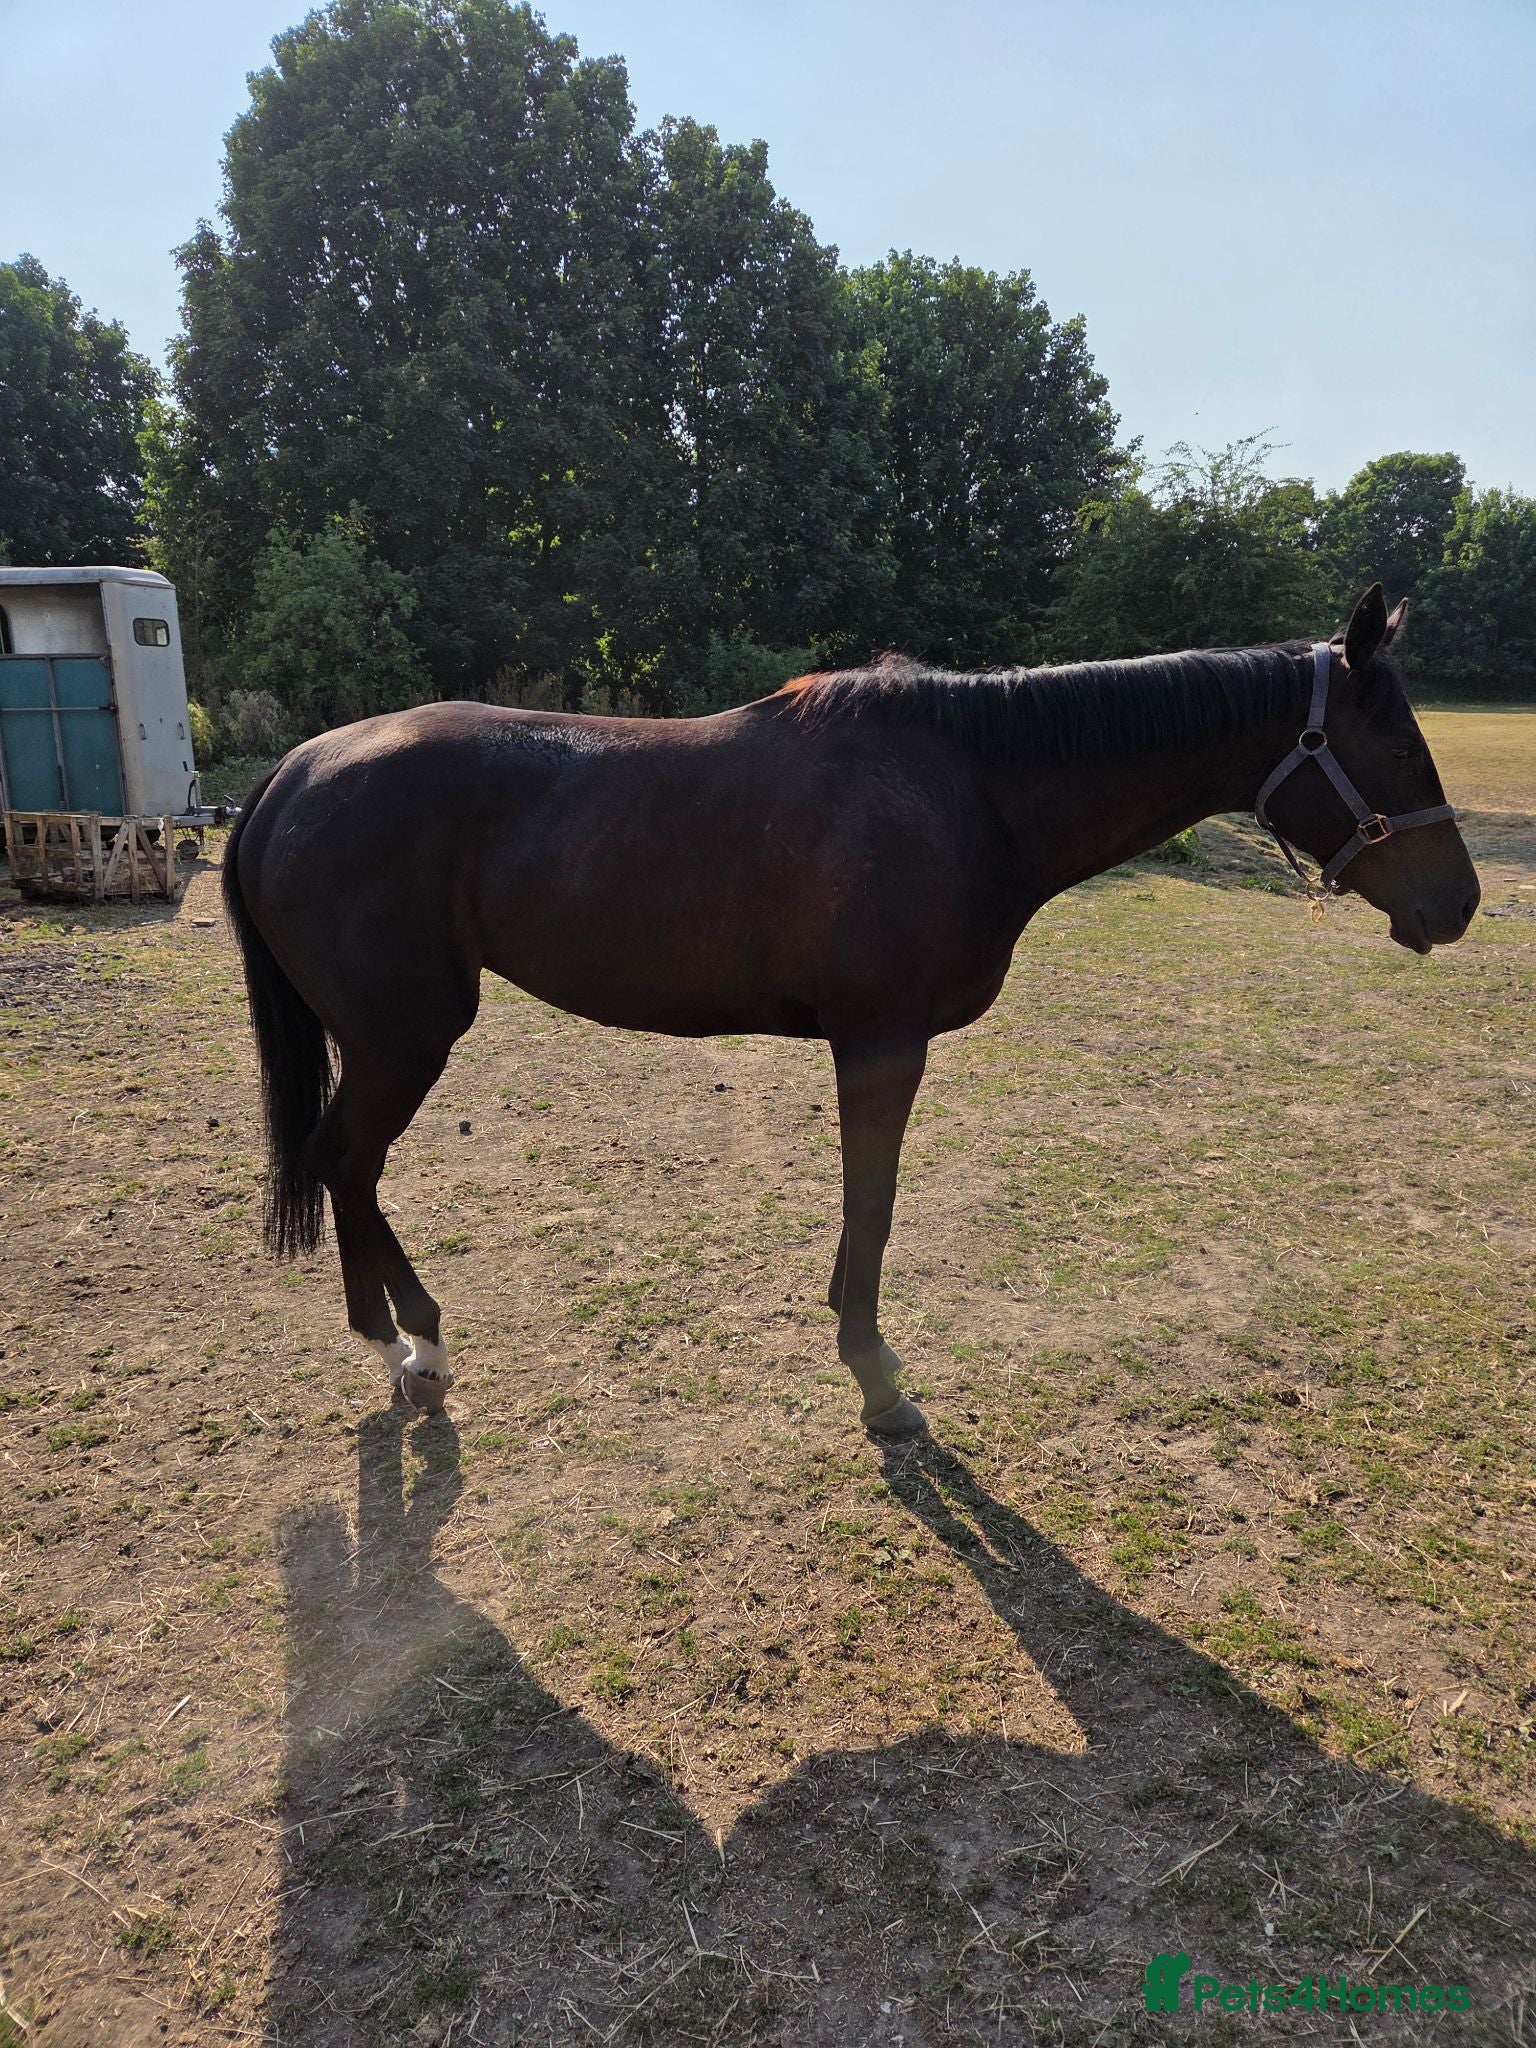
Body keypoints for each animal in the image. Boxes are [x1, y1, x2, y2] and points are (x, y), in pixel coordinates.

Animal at [223, 584, 1479, 1432]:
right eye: (1395, 744)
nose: (1460, 902)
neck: (966, 786)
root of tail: (290, 773)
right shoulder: (881, 1044)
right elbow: (871, 1204)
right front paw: (876, 1375)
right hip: (401, 1040)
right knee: (347, 1163)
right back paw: (409, 1346)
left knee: (345, 1168)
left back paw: (399, 1336)